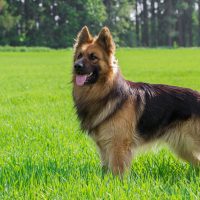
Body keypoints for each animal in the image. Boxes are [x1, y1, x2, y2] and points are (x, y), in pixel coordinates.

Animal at [72, 26, 200, 175]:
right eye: (79, 55)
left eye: (93, 57)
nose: (77, 66)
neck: (106, 92)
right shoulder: (104, 147)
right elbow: (106, 170)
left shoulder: (118, 146)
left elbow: (117, 172)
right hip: (184, 147)